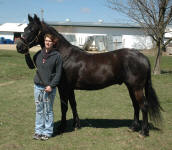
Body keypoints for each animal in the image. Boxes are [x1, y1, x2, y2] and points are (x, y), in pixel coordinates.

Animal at [16, 14, 163, 137]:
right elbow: (73, 104)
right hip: (131, 87)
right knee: (135, 105)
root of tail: (142, 57)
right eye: (25, 28)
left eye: (32, 29)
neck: (64, 56)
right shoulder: (70, 88)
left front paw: (62, 127)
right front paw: (76, 125)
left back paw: (143, 132)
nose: (19, 47)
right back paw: (133, 127)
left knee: (143, 105)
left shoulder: (64, 88)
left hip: (136, 87)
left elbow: (64, 107)